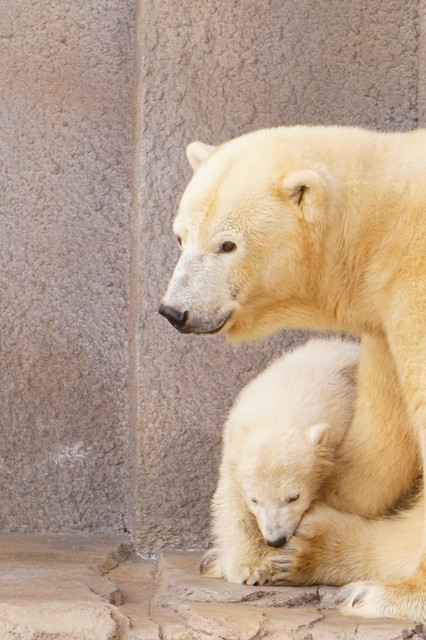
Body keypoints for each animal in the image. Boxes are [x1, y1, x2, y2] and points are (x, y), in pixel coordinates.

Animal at [158, 125, 424, 620]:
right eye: (181, 238)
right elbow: (382, 433)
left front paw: (396, 595)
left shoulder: (414, 287)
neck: (384, 226)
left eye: (228, 244)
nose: (175, 311)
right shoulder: (386, 313)